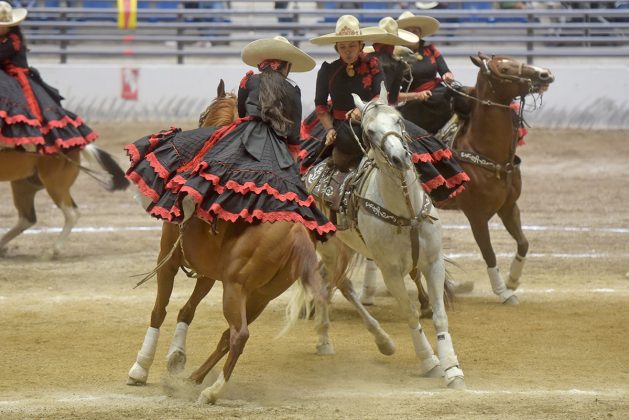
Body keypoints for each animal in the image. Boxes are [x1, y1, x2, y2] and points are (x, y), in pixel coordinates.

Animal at [125, 80, 326, 406]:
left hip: (235, 287)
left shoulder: (167, 258)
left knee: (239, 335)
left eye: (202, 114)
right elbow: (186, 310)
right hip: (259, 295)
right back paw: (194, 378)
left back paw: (212, 391)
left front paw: (140, 368)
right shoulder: (208, 273)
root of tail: (296, 231)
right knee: (227, 336)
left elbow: (160, 310)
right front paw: (176, 358)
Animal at [288, 83, 464, 388]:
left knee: (333, 282)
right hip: (330, 248)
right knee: (334, 283)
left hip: (344, 249)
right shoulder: (390, 271)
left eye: (399, 120)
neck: (406, 211)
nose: (399, 157)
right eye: (369, 131)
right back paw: (359, 340)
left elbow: (440, 315)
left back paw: (333, 339)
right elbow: (410, 313)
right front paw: (429, 361)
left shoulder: (433, 263)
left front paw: (452, 368)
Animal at [436, 54, 556, 306]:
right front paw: (503, 292)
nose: (545, 74)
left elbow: (523, 243)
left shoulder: (509, 207)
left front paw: (512, 280)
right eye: (504, 69)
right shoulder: (476, 216)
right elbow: (489, 253)